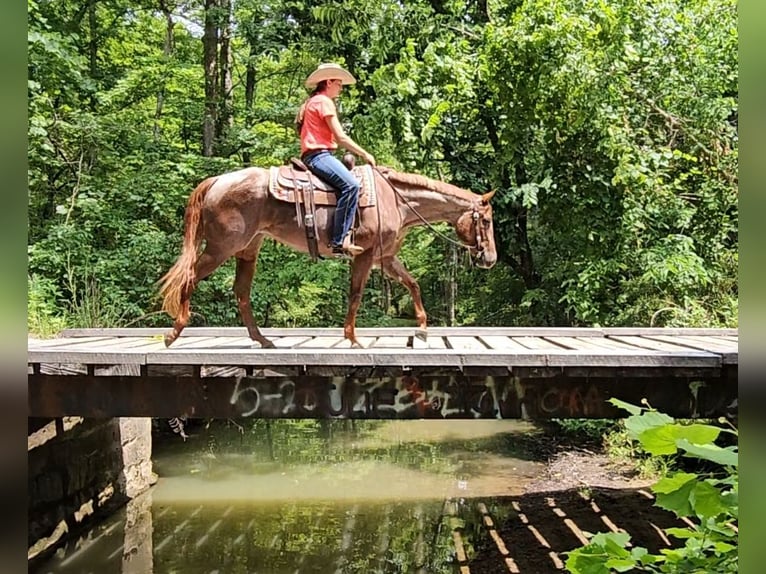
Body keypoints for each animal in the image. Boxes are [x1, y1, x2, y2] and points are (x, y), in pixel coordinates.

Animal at [159, 164, 500, 348]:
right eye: (485, 220)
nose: (490, 259)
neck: (396, 200)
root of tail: (217, 181)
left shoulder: (386, 258)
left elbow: (412, 283)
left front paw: (422, 328)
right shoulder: (365, 255)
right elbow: (356, 293)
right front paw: (352, 338)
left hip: (248, 250)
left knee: (241, 292)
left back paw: (263, 340)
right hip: (220, 248)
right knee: (190, 277)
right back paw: (173, 333)